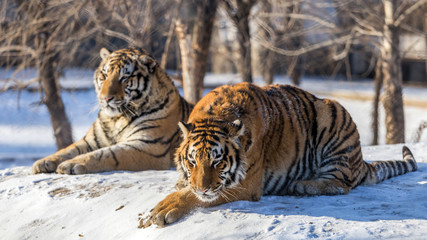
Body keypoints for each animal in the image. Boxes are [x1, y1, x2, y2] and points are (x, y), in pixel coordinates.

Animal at [32, 47, 193, 174]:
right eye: (104, 75)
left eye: (124, 78)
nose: (105, 98)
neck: (116, 119)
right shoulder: (91, 141)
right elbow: (68, 149)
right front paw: (43, 162)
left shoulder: (148, 146)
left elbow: (106, 154)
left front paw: (70, 164)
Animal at [141, 82, 418, 227]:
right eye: (192, 161)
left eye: (217, 162)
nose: (203, 188)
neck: (216, 115)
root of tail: (360, 161)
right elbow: (185, 187)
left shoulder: (246, 184)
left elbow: (190, 196)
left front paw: (160, 210)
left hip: (332, 116)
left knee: (341, 184)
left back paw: (300, 185)